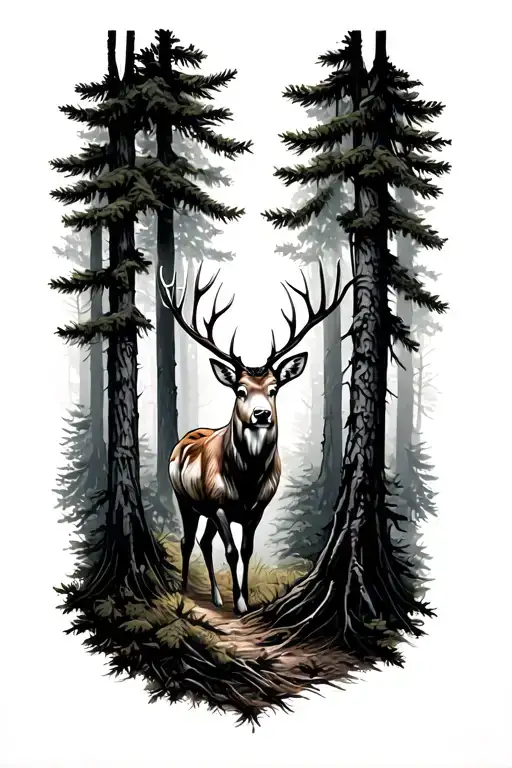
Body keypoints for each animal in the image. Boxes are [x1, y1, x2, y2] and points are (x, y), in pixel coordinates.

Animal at [159, 260, 351, 616]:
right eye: (240, 390)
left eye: (274, 389)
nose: (262, 414)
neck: (247, 480)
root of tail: (185, 439)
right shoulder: (220, 503)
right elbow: (232, 551)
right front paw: (239, 603)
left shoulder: (258, 507)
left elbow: (246, 550)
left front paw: (244, 598)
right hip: (186, 498)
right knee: (188, 540)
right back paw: (183, 589)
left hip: (205, 509)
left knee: (204, 541)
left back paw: (216, 596)